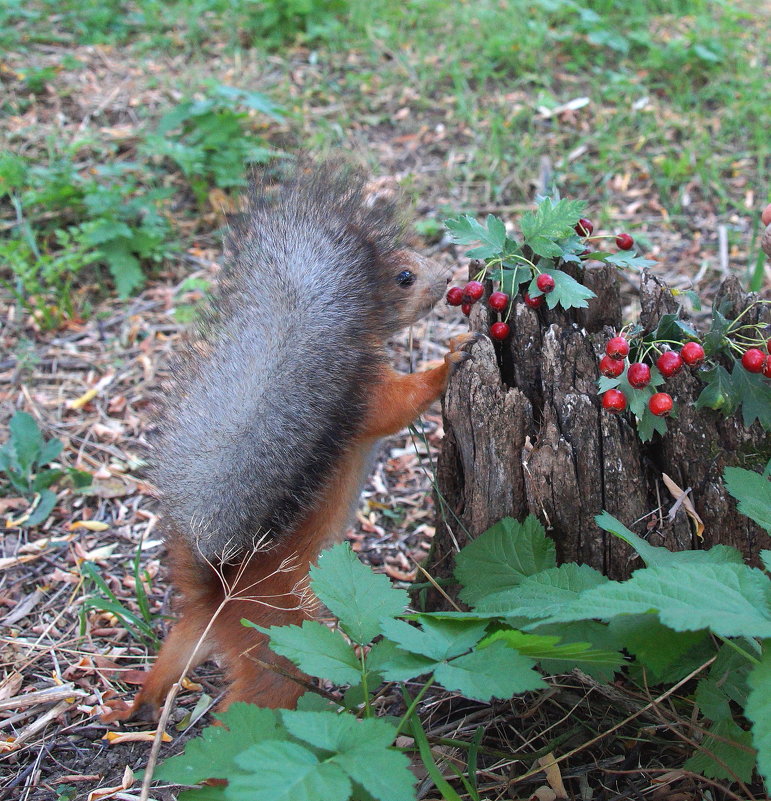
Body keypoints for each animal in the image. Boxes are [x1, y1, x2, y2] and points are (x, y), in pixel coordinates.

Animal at [114, 156, 476, 720]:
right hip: (275, 638)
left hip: (189, 638)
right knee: (255, 701)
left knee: (167, 663)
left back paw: (132, 707)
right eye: (404, 277)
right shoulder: (366, 399)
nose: (450, 275)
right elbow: (399, 405)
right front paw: (450, 360)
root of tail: (220, 591)